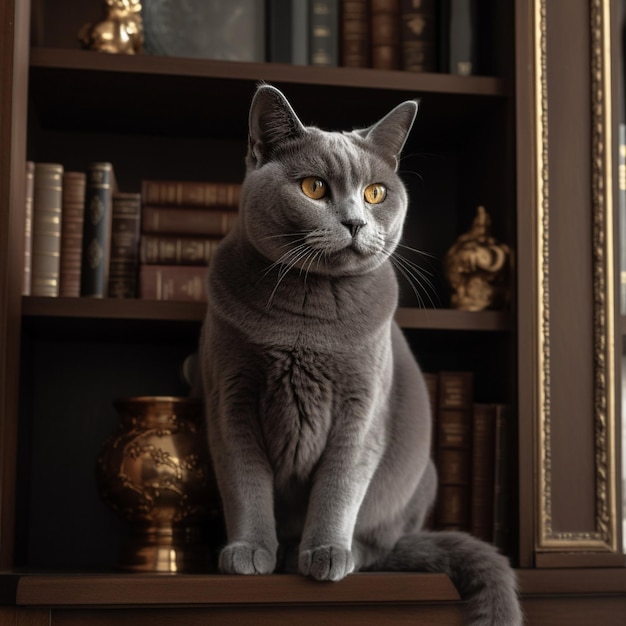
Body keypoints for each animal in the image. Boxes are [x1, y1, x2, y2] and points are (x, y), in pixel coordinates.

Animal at [197, 84, 520, 624]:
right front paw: (248, 552)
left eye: (375, 193)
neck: (304, 318)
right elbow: (245, 481)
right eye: (313, 188)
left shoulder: (362, 407)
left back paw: (337, 553)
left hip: (418, 480)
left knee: (383, 541)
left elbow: (340, 481)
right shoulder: (230, 399)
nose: (354, 221)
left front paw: (325, 552)